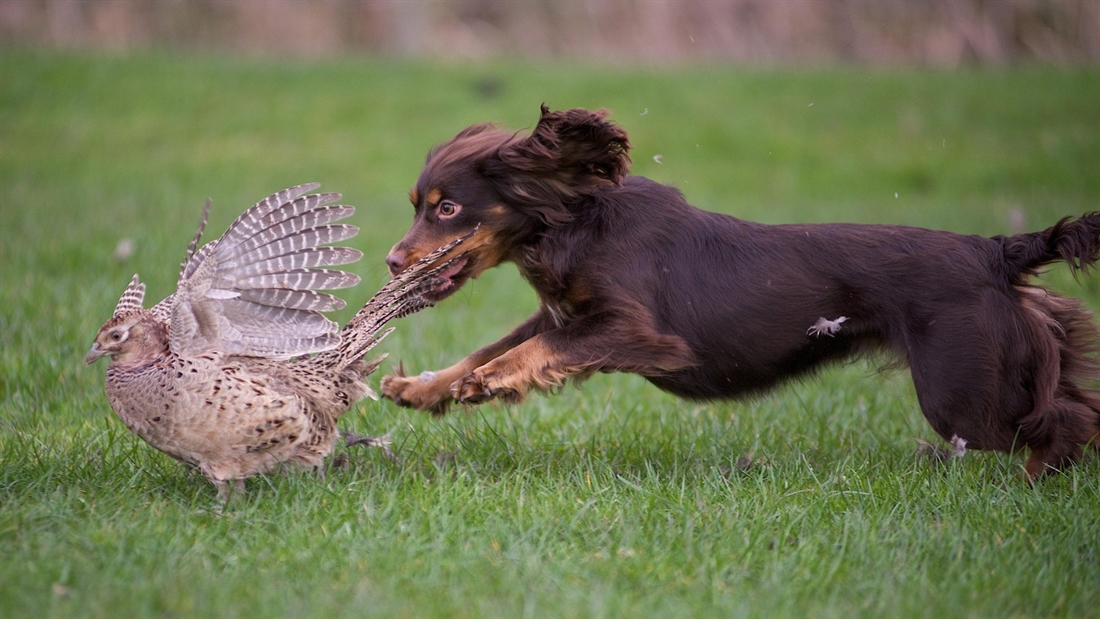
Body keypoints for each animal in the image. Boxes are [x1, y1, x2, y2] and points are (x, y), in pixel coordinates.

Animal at [380, 103, 1100, 477]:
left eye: (446, 209)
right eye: (418, 204)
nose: (391, 262)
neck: (576, 219)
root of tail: (993, 249)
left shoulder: (636, 333)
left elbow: (526, 354)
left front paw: (491, 381)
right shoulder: (564, 313)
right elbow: (487, 347)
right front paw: (425, 386)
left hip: (961, 392)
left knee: (1061, 422)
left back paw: (1036, 481)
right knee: (1068, 408)